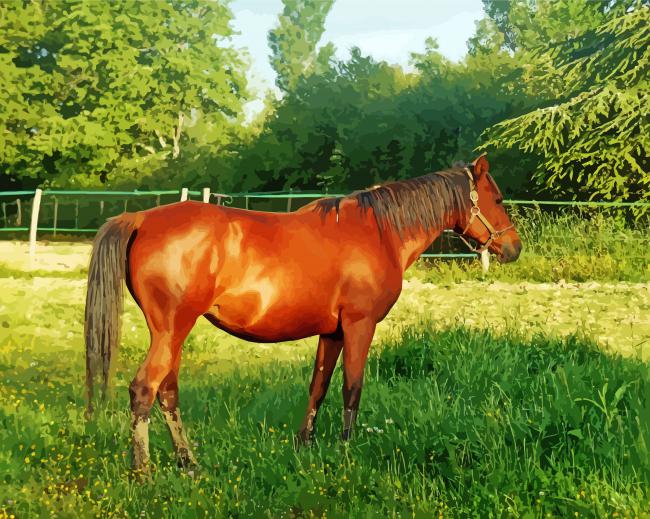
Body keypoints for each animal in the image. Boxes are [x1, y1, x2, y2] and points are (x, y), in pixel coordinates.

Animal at [84, 154, 521, 475]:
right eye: (498, 199)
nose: (514, 248)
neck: (379, 231)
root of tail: (140, 218)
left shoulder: (332, 332)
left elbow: (319, 386)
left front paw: (305, 444)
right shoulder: (359, 325)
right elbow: (352, 387)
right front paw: (347, 448)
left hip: (173, 333)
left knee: (167, 392)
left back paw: (188, 463)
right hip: (172, 330)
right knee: (144, 389)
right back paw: (143, 471)